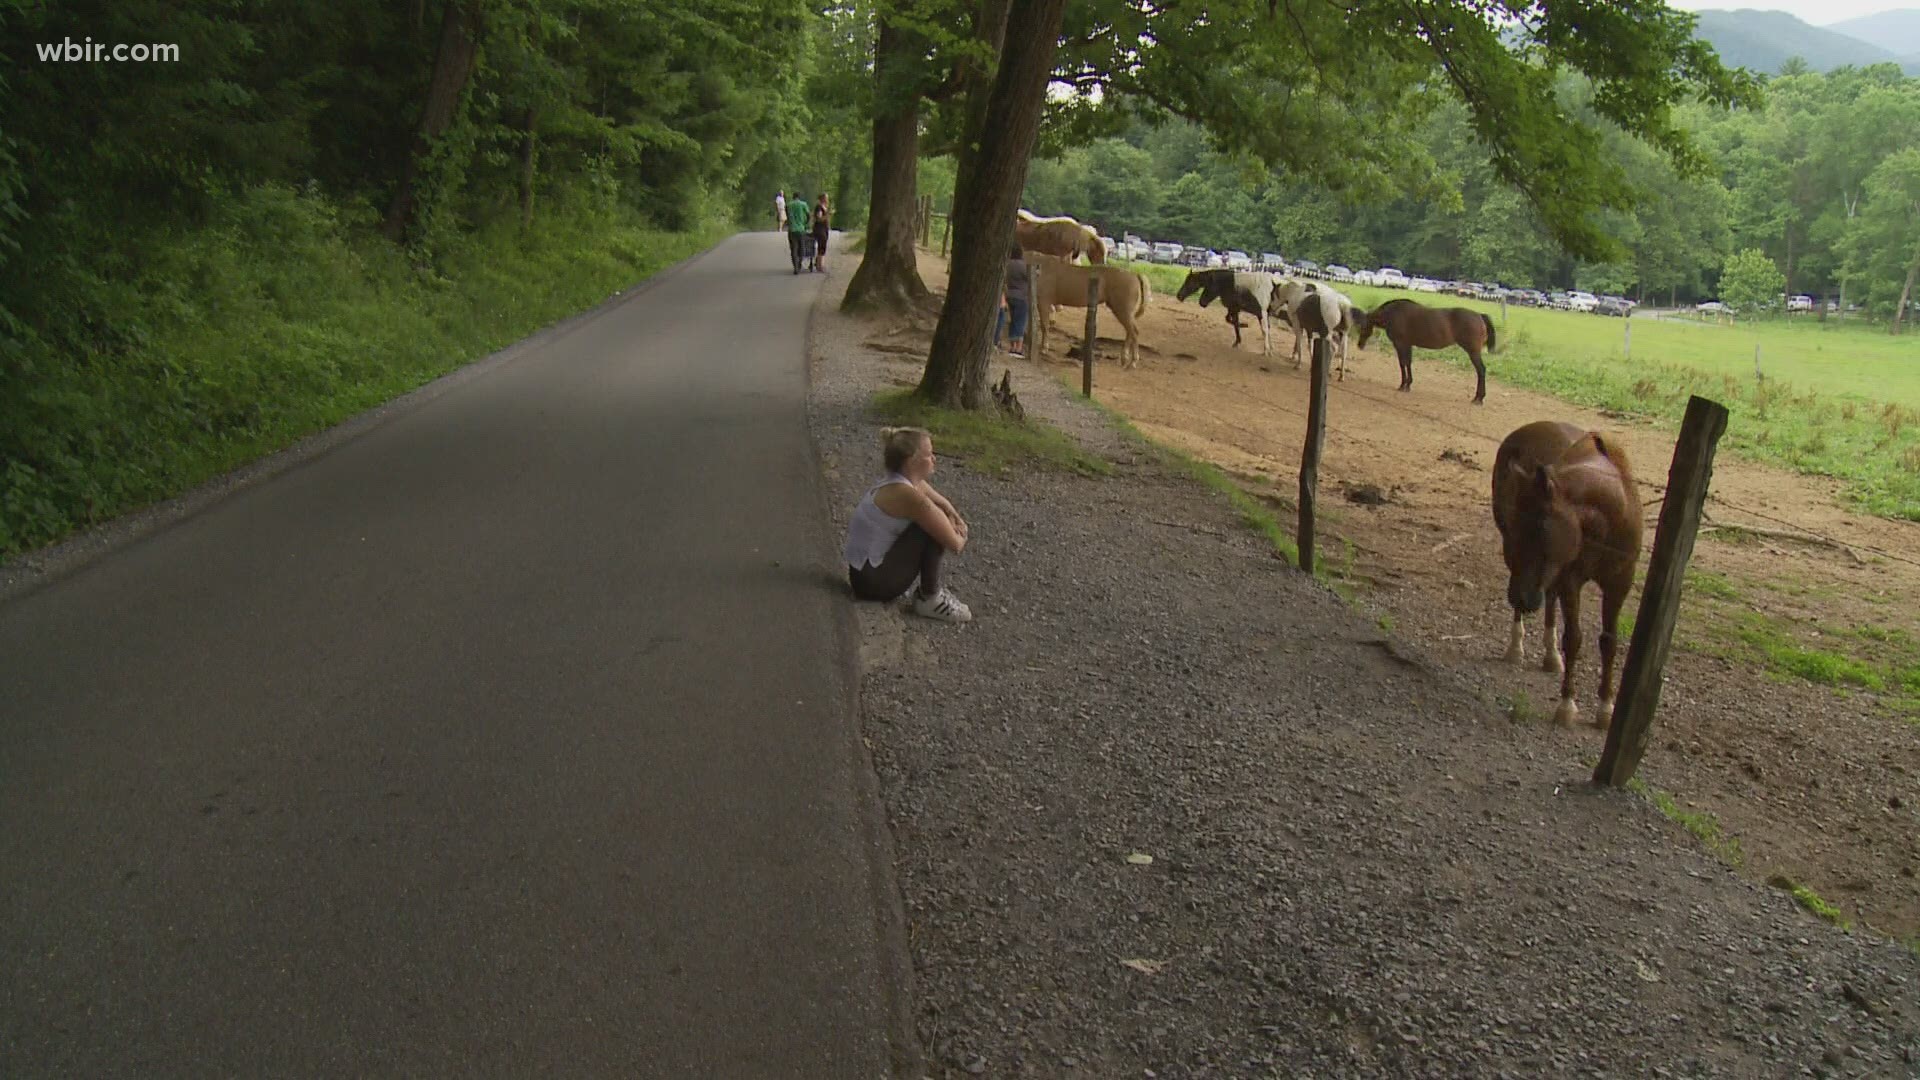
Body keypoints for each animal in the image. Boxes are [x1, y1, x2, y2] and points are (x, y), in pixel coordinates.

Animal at [1351, 297, 1497, 403]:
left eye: (1362, 327)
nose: (1360, 345)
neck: (1393, 314)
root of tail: (1479, 315)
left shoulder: (1400, 344)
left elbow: (1402, 363)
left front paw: (1402, 385)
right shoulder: (1408, 345)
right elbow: (1408, 363)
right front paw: (1408, 385)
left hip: (1473, 352)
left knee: (1481, 371)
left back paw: (1478, 398)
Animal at [1489, 418, 1643, 722]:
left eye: (1540, 527)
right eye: (1515, 525)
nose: (1522, 597)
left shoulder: (1619, 583)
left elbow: (1609, 642)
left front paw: (1605, 708)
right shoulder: (1571, 579)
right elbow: (1574, 638)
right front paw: (1567, 705)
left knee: (1550, 598)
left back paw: (1551, 655)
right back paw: (1516, 648)